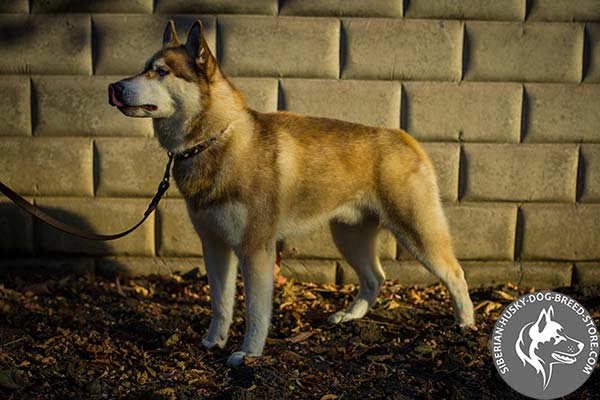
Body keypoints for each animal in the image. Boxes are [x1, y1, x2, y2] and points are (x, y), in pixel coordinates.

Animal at [106, 21, 474, 366]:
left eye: (161, 71)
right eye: (143, 66)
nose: (114, 87)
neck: (215, 140)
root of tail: (404, 137)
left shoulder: (255, 248)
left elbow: (255, 311)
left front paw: (248, 354)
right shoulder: (214, 245)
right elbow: (220, 304)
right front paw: (214, 341)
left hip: (417, 231)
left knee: (454, 273)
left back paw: (466, 324)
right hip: (349, 236)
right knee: (375, 277)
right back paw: (350, 315)